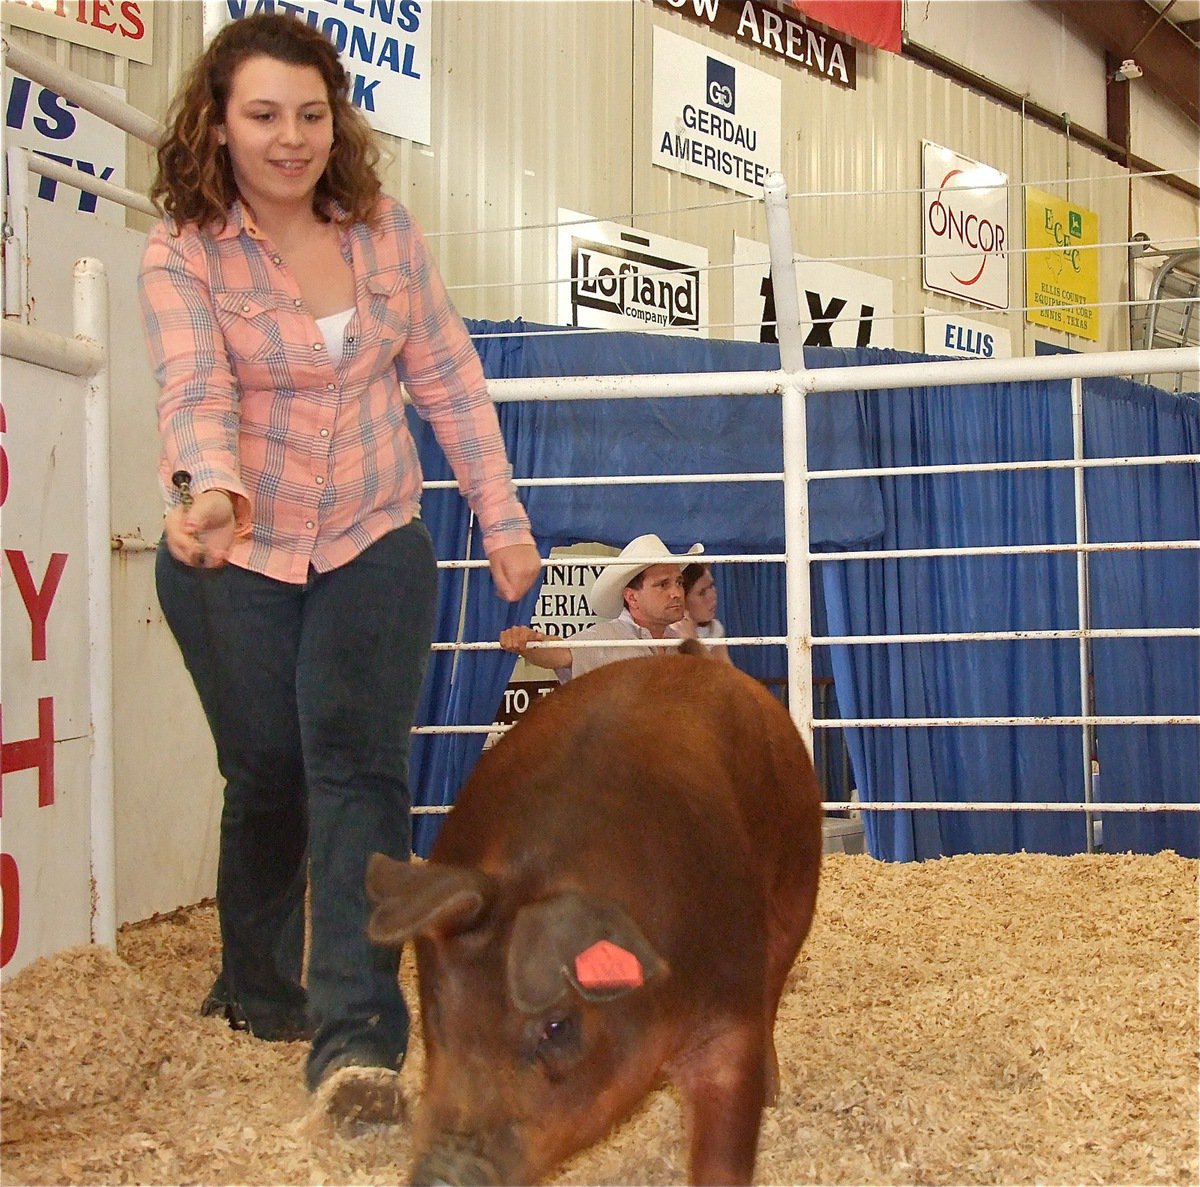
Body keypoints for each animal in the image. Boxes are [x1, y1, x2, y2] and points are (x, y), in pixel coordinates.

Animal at [364, 652, 820, 1180]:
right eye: (439, 1010)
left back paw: (773, 1092)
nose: (442, 1174)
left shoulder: (729, 1008)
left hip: (797, 883)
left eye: (557, 1026)